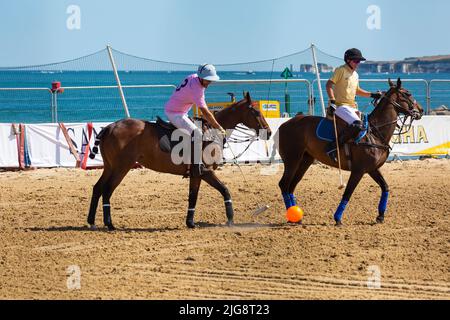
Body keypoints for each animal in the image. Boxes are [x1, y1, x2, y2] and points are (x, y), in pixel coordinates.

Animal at [88, 92, 270, 230]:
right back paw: (109, 224)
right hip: (121, 167)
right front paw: (230, 220)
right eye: (256, 112)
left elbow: (193, 196)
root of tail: (108, 127)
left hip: (109, 167)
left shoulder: (196, 174)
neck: (212, 133)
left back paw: (91, 222)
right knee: (107, 190)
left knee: (97, 188)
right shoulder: (205, 172)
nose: (268, 132)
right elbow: (224, 190)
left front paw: (190, 223)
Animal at [276, 79, 424, 225]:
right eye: (408, 93)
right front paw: (337, 218)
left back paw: (296, 217)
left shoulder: (372, 168)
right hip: (292, 159)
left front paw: (380, 216)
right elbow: (348, 192)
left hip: (305, 159)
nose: (421, 110)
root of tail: (283, 125)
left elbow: (385, 187)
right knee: (284, 184)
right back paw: (292, 215)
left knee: (291, 186)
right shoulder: (358, 170)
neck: (375, 133)